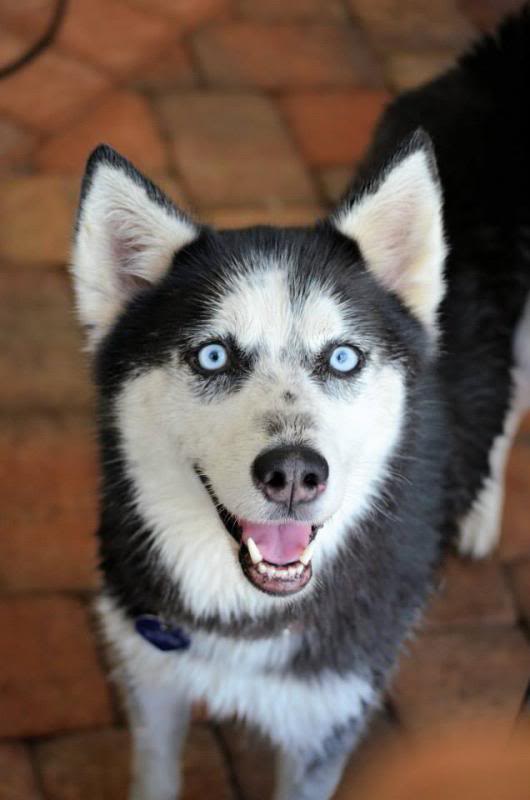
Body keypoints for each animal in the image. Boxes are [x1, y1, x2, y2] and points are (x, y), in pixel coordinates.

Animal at [71, 10, 528, 800]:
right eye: (213, 356)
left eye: (342, 357)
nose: (293, 473)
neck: (251, 616)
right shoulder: (151, 676)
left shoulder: (328, 721)